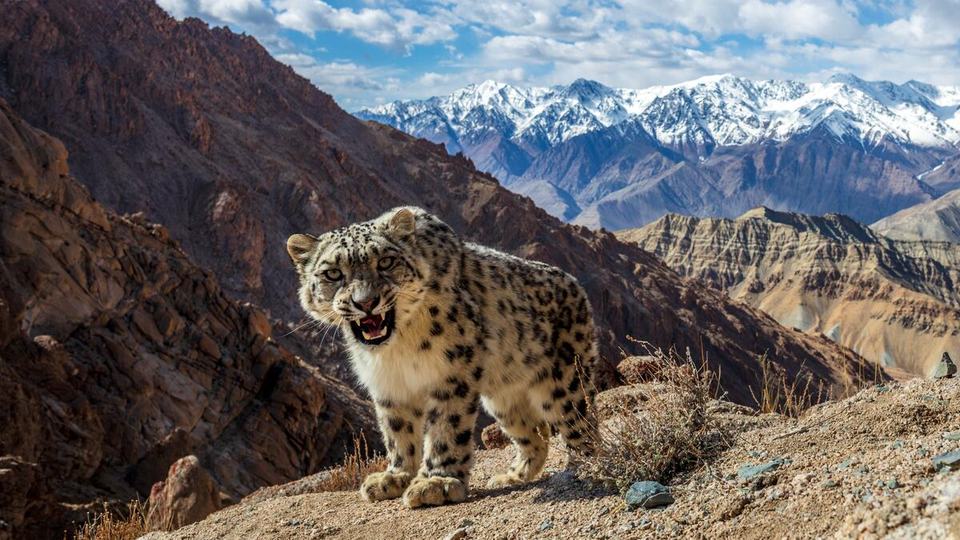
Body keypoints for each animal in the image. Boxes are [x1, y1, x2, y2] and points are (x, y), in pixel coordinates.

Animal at [286, 206, 598, 508]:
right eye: (333, 273)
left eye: (386, 262)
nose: (365, 302)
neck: (398, 346)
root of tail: (576, 285)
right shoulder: (388, 384)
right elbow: (397, 430)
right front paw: (394, 477)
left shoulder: (452, 371)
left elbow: (445, 427)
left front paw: (436, 483)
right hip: (503, 399)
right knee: (535, 433)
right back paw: (512, 476)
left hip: (565, 383)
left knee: (582, 426)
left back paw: (584, 466)